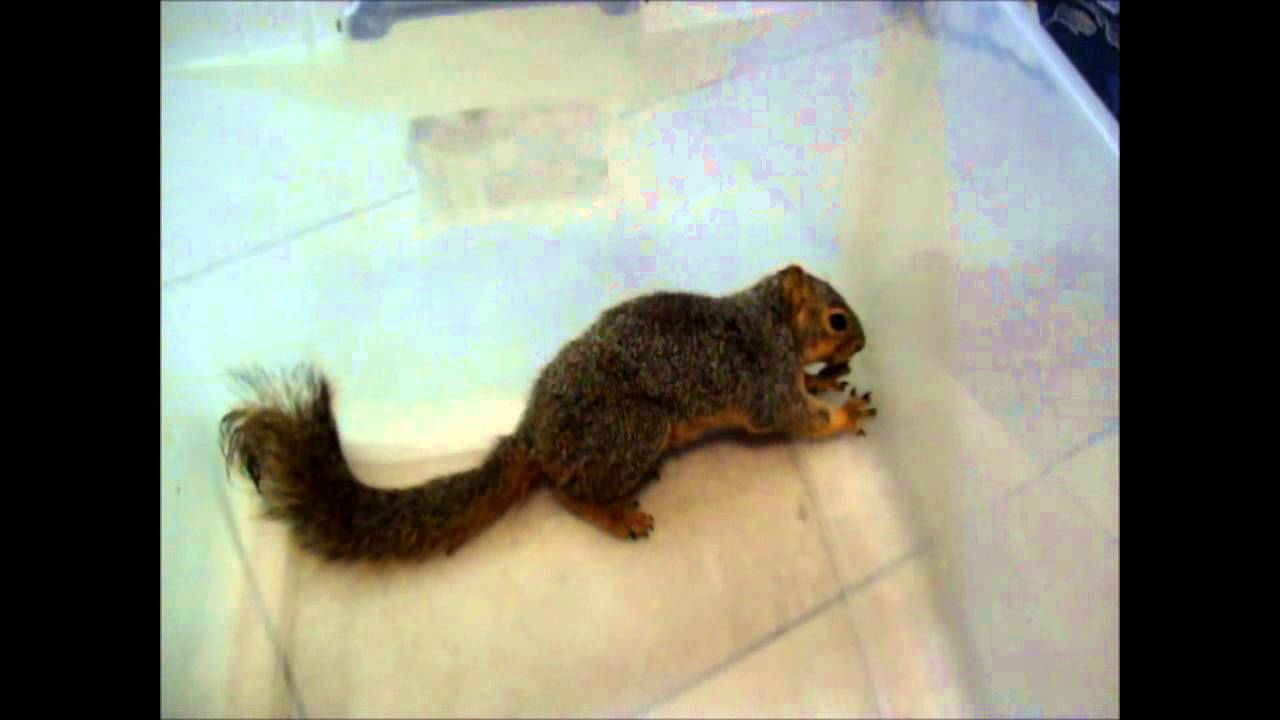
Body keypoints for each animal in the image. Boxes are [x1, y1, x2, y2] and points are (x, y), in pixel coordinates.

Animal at [219, 264, 876, 562]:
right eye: (836, 318)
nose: (863, 343)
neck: (768, 320)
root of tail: (534, 434)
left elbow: (804, 389)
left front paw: (827, 378)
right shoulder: (761, 380)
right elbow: (794, 416)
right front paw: (847, 413)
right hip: (635, 428)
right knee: (567, 494)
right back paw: (618, 514)